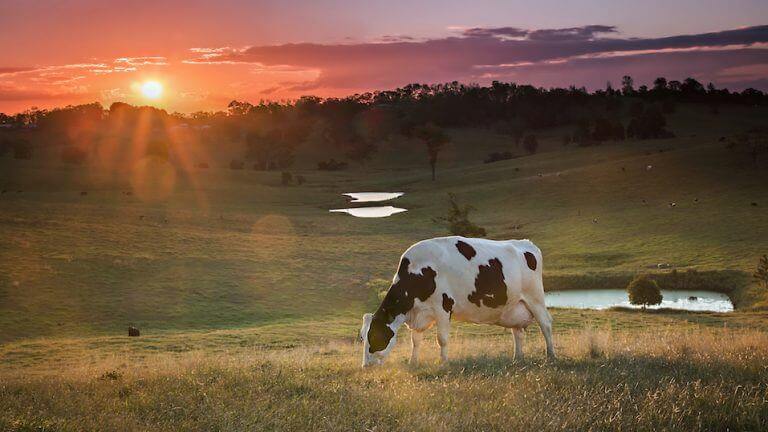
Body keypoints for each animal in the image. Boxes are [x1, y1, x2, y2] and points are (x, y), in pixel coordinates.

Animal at [360, 236, 552, 368]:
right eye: (362, 337)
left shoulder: (443, 307)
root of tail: (526, 243)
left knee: (546, 325)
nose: (365, 366)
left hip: (535, 298)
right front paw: (413, 362)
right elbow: (416, 340)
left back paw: (551, 357)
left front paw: (443, 362)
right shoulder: (420, 313)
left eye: (374, 336)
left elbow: (442, 339)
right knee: (518, 333)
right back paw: (517, 359)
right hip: (514, 307)